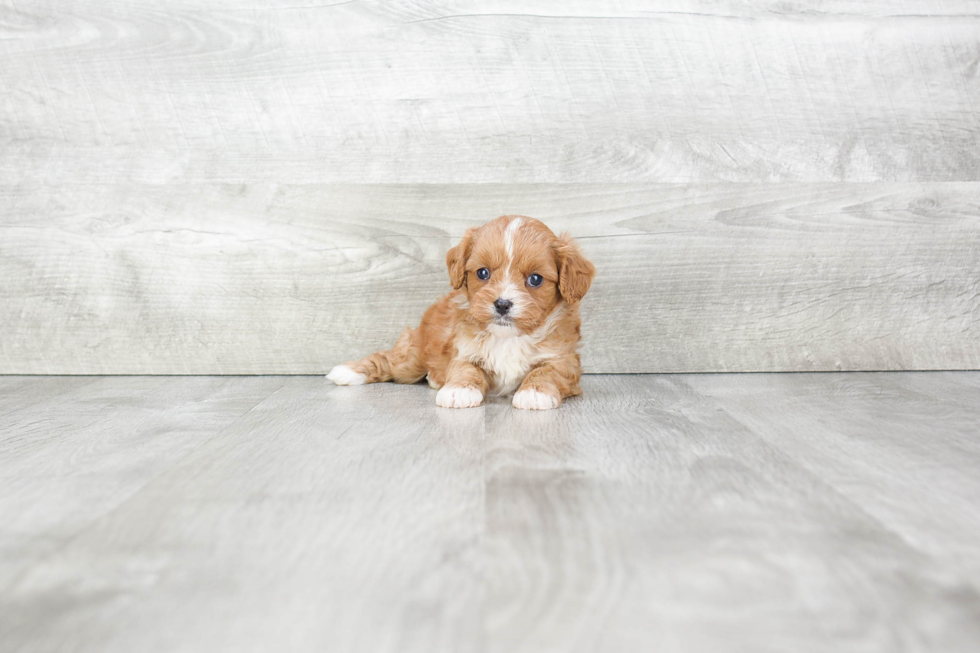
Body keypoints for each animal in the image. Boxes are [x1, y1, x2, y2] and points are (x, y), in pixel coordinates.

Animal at [326, 214, 592, 408]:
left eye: (535, 279)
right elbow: (465, 370)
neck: (508, 338)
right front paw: (458, 390)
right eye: (483, 273)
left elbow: (547, 372)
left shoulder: (564, 360)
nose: (502, 304)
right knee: (387, 360)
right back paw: (347, 371)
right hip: (412, 357)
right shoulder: (464, 351)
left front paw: (535, 393)